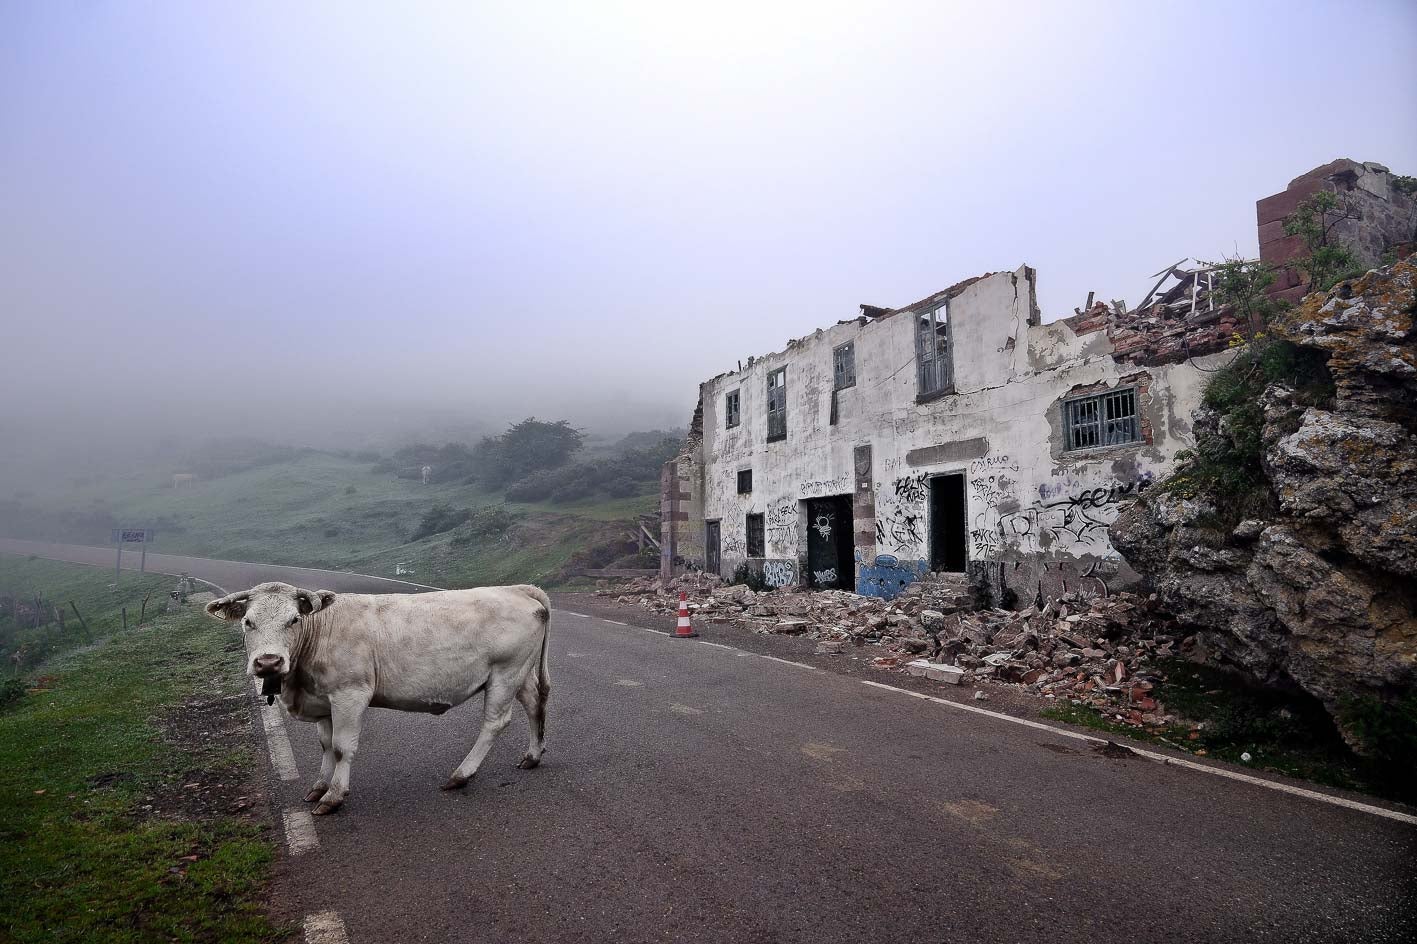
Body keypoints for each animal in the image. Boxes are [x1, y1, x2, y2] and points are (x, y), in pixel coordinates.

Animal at [206, 578, 549, 810]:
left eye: (294, 619)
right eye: (248, 622)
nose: (268, 662)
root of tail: (516, 589)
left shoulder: (350, 694)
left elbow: (341, 747)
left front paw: (333, 796)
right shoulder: (323, 701)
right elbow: (326, 745)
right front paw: (319, 786)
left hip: (506, 672)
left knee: (495, 722)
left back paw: (461, 775)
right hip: (521, 673)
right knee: (535, 703)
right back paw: (532, 755)